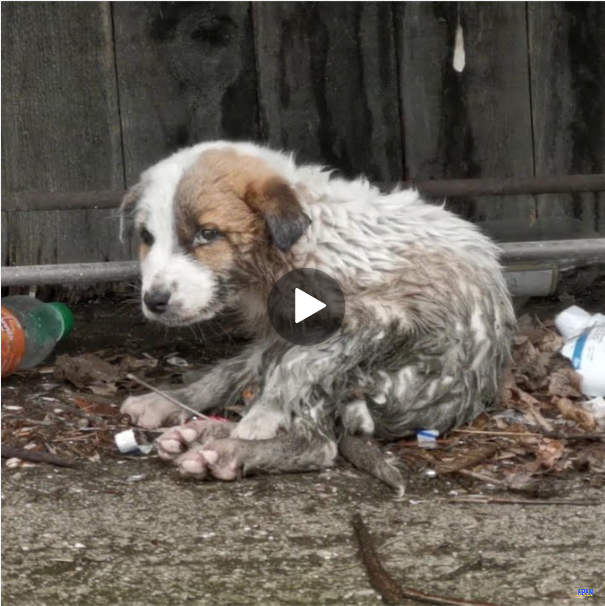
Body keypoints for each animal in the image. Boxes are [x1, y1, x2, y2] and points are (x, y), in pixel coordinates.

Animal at [121, 140, 516, 486]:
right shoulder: (277, 333)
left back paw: (227, 451)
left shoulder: (378, 320)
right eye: (146, 237)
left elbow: (298, 366)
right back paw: (189, 422)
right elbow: (230, 371)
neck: (289, 251)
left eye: (208, 233)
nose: (154, 300)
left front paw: (263, 415)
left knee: (319, 443)